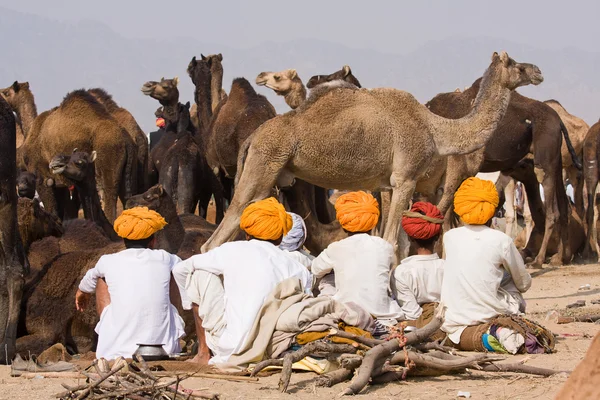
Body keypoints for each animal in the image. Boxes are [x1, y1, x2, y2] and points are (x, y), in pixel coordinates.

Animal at [18, 88, 138, 223]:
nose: (21, 188)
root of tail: (126, 140)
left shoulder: (41, 176)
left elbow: (52, 207)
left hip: (108, 152)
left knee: (109, 194)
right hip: (130, 165)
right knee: (127, 196)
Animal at [202, 52, 544, 256]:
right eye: (516, 65)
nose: (538, 70)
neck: (437, 129)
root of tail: (253, 137)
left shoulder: (398, 186)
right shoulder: (405, 178)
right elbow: (392, 242)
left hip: (266, 174)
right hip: (263, 165)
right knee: (217, 235)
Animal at [424, 80, 580, 268]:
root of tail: (558, 121)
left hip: (545, 156)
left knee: (551, 210)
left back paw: (539, 260)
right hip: (556, 159)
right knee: (563, 205)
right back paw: (560, 258)